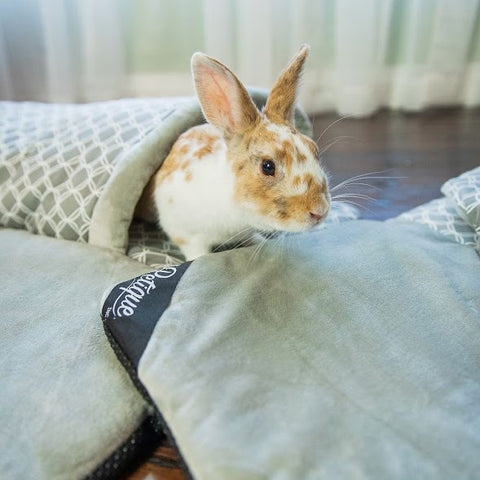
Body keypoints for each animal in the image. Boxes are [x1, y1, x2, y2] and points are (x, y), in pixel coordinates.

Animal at [135, 45, 330, 260]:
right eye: (267, 166)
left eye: (314, 149)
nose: (319, 211)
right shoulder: (186, 234)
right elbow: (197, 254)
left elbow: (253, 239)